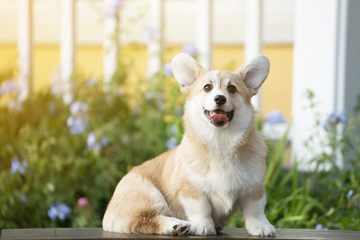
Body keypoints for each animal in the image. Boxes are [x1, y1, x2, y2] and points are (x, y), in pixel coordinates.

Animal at [102, 52, 278, 236]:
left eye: (232, 89)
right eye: (207, 88)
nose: (220, 98)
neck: (220, 141)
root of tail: (108, 212)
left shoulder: (254, 188)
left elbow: (255, 211)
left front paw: (262, 227)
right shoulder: (192, 189)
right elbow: (201, 209)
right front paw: (203, 226)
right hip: (147, 194)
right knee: (144, 220)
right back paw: (176, 225)